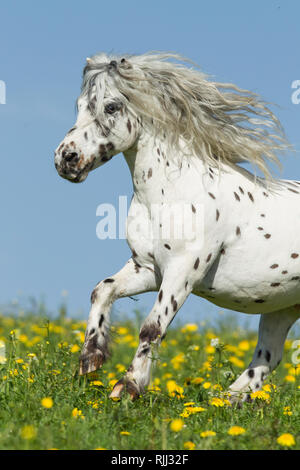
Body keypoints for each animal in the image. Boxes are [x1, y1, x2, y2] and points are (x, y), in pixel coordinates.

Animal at [55, 52, 298, 404]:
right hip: (282, 306)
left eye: (111, 107)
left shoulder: (183, 270)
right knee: (268, 356)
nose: (66, 159)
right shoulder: (148, 268)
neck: (173, 191)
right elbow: (102, 289)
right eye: (80, 105)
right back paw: (223, 402)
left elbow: (152, 327)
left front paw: (128, 387)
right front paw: (91, 360)